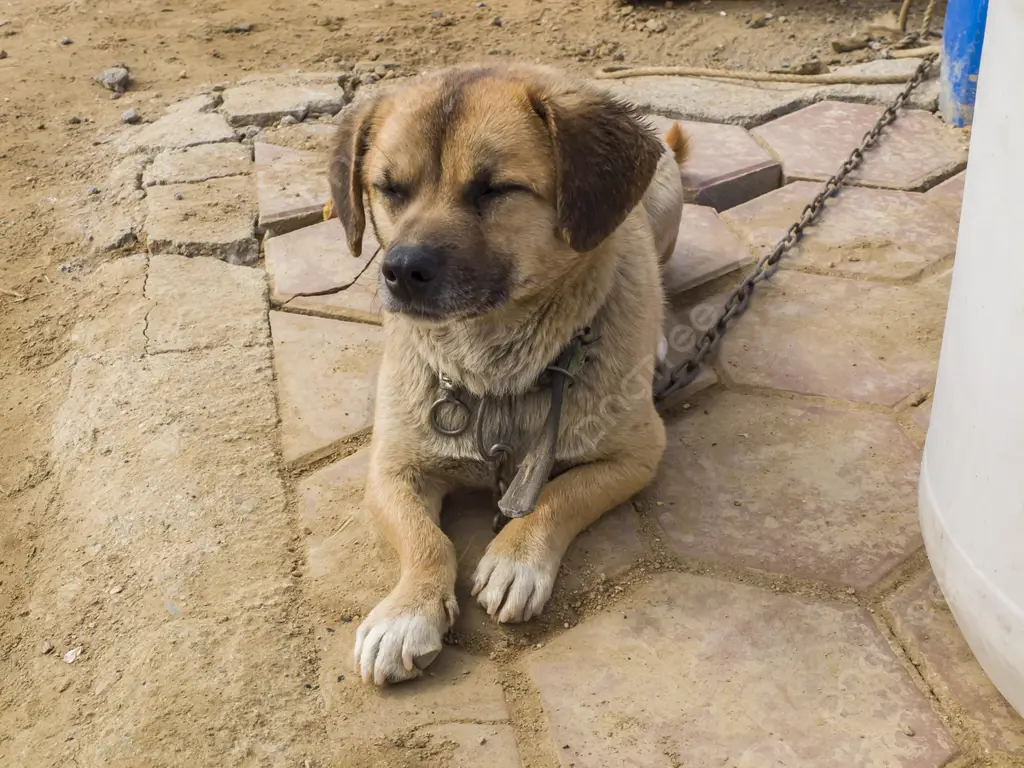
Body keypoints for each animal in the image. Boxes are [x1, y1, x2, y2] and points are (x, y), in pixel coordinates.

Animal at [327, 61, 688, 684]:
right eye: (389, 188)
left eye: (496, 190)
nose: (401, 270)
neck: (492, 367)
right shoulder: (390, 469)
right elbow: (425, 539)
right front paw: (406, 610)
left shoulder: (638, 456)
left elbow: (560, 493)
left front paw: (516, 559)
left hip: (665, 199)